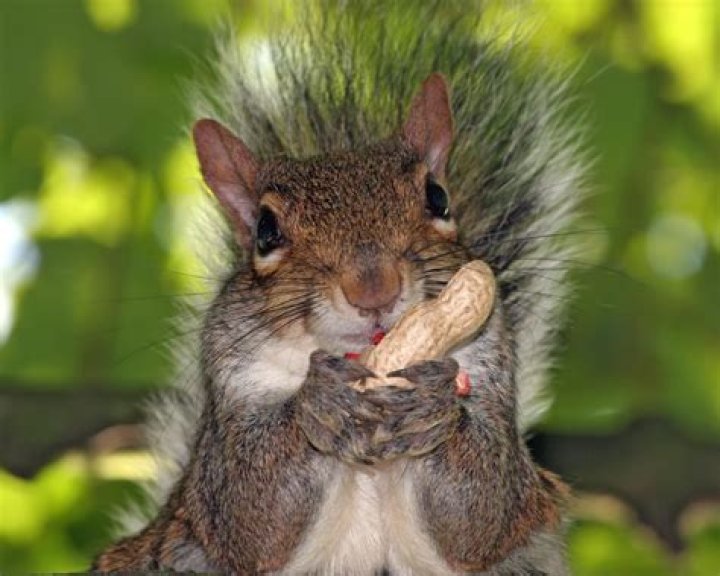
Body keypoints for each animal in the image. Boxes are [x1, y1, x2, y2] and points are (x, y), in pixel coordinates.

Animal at [92, 3, 585, 575]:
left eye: (438, 198)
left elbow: (483, 511)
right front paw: (320, 401)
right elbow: (250, 509)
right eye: (265, 231)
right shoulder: (229, 402)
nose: (374, 289)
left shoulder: (489, 367)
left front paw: (434, 402)